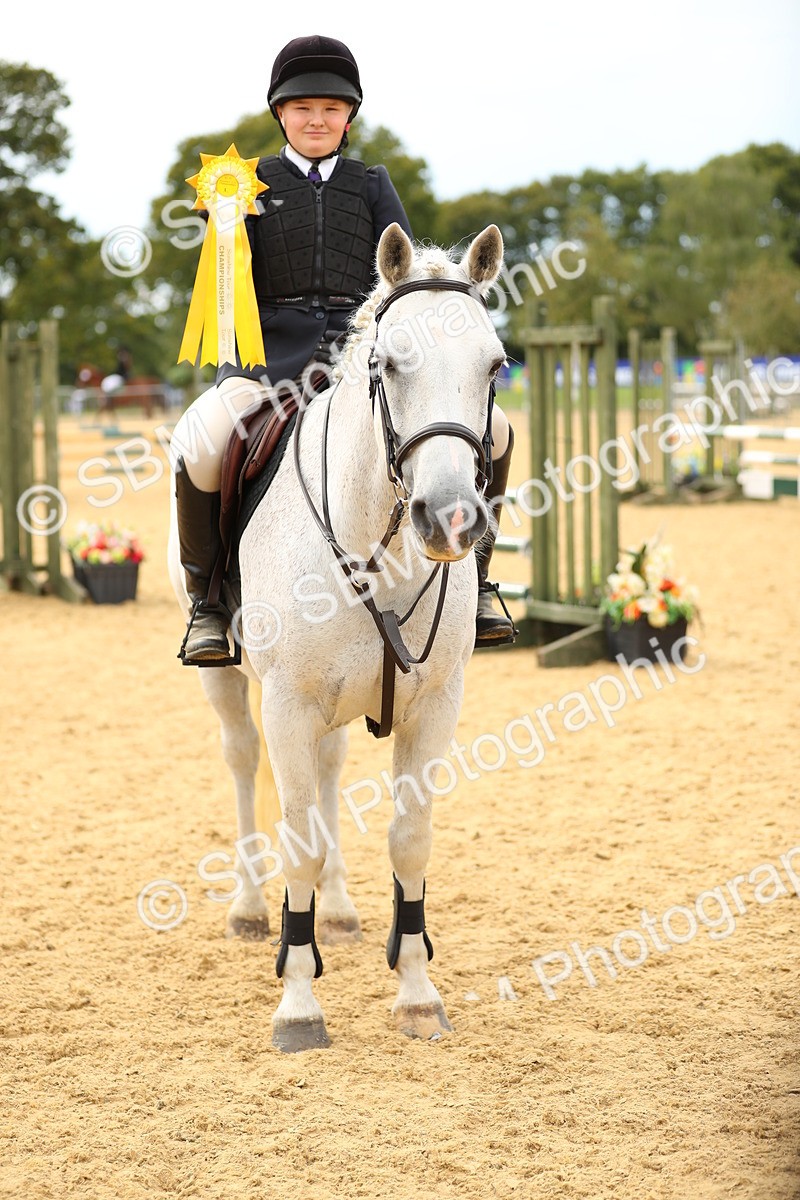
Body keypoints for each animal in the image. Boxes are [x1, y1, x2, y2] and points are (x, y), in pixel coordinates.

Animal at [167, 223, 506, 1051]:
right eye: (389, 364)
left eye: (495, 366)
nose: (451, 520)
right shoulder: (288, 705)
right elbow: (297, 838)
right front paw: (298, 1004)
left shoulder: (433, 705)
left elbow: (408, 839)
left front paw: (416, 993)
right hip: (229, 680)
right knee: (242, 762)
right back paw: (251, 910)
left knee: (328, 775)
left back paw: (342, 910)